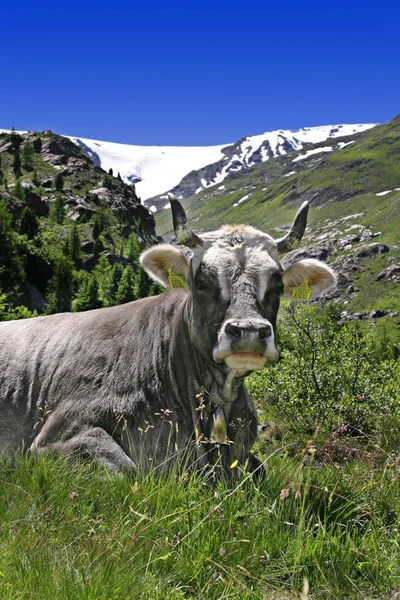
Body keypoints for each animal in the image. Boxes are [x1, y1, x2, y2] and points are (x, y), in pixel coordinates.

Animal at [0, 198, 336, 478]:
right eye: (201, 281)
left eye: (277, 286)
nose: (250, 331)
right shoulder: (55, 435)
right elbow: (126, 471)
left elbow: (260, 471)